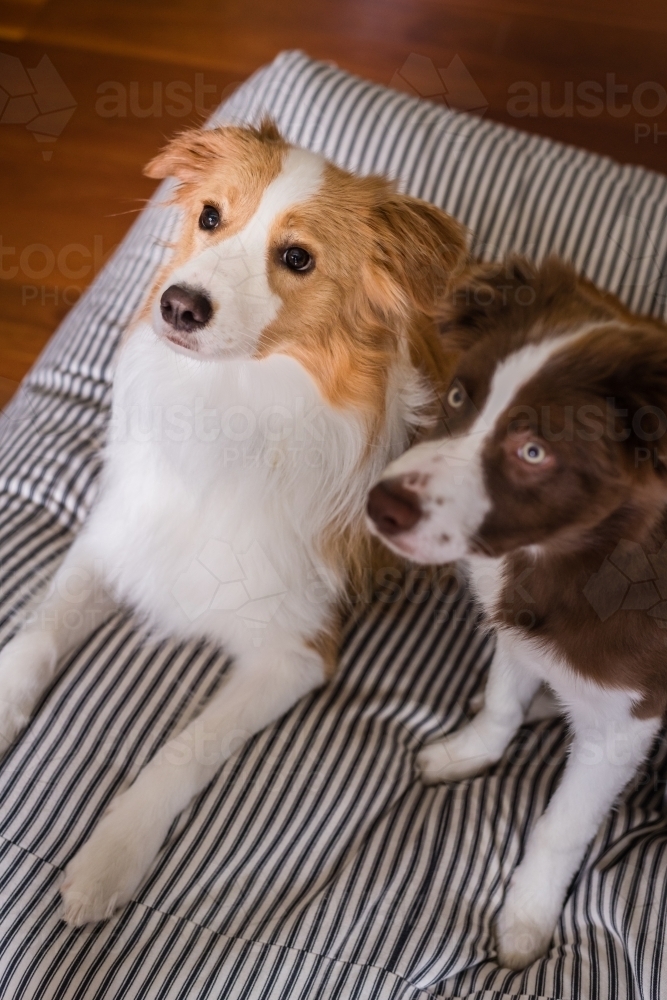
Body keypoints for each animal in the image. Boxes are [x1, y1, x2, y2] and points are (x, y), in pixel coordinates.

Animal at [0, 121, 468, 924]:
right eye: (210, 216)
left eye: (297, 258)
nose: (180, 306)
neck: (226, 402)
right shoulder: (115, 539)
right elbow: (35, 640)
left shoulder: (296, 650)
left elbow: (184, 749)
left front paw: (111, 857)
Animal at [368, 256, 667, 968]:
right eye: (456, 398)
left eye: (534, 452)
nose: (379, 506)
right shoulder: (519, 623)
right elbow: (503, 700)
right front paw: (469, 749)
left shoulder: (632, 716)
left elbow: (563, 824)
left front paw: (525, 917)